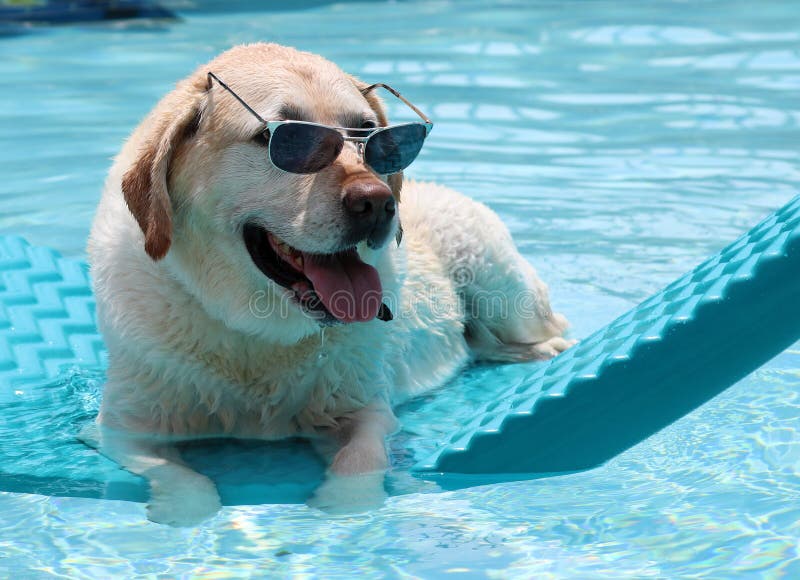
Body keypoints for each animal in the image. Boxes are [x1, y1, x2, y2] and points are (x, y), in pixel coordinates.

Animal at [87, 44, 572, 524]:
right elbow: (179, 479)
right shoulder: (123, 430)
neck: (255, 335)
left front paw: (344, 504)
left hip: (497, 281)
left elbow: (361, 460)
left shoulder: (366, 410)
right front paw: (186, 510)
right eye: (285, 141)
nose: (378, 203)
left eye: (371, 135)